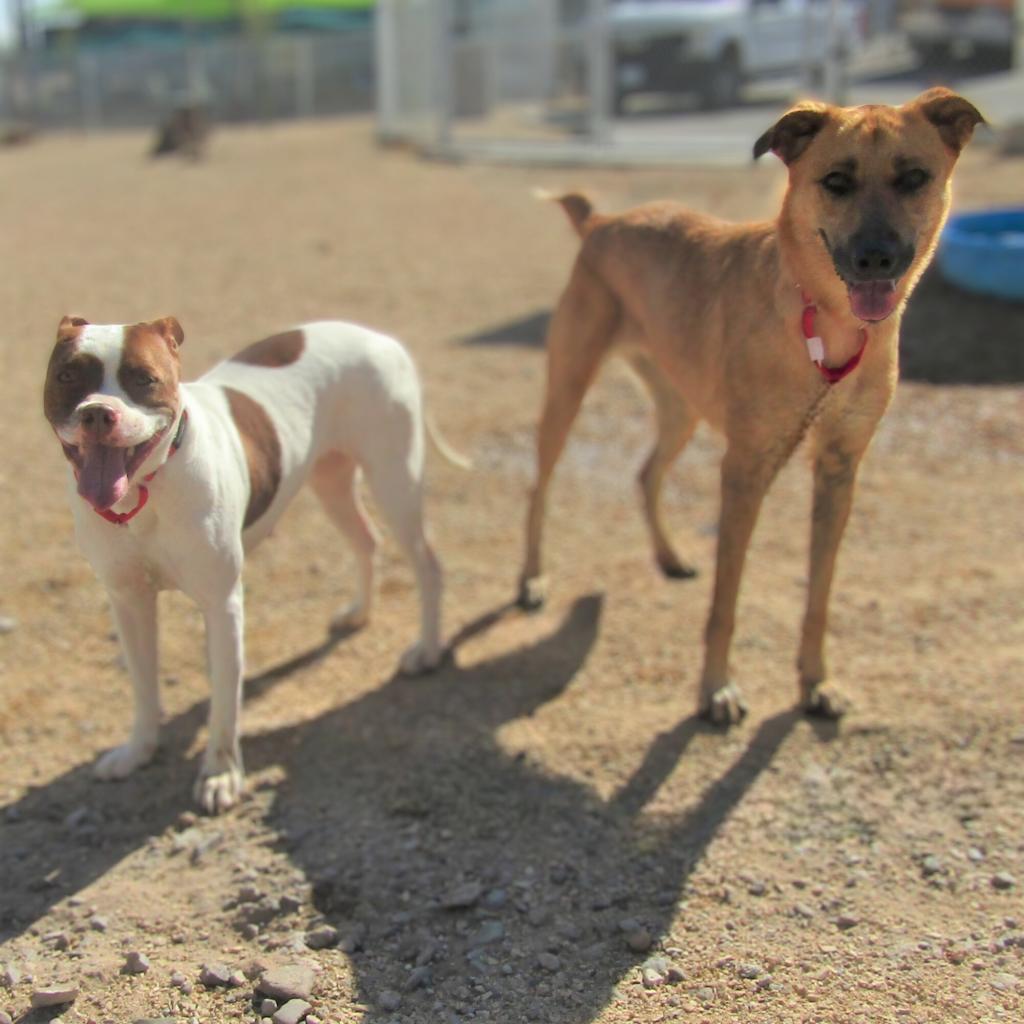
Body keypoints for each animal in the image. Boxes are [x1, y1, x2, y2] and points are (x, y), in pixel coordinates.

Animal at [43, 315, 452, 811]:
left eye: (143, 378)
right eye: (67, 376)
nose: (98, 413)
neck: (146, 492)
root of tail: (376, 336)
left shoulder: (222, 605)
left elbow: (224, 699)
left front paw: (220, 775)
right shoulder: (129, 602)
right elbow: (143, 685)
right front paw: (138, 751)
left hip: (395, 480)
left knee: (427, 565)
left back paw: (427, 650)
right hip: (331, 480)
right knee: (366, 540)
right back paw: (359, 614)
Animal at [520, 90, 983, 729]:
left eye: (914, 177)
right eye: (836, 181)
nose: (877, 259)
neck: (826, 322)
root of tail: (601, 222)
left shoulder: (839, 470)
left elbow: (819, 594)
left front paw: (816, 683)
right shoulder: (745, 470)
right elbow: (726, 600)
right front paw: (716, 690)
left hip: (681, 408)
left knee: (646, 472)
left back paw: (669, 556)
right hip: (568, 389)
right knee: (539, 485)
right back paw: (532, 580)